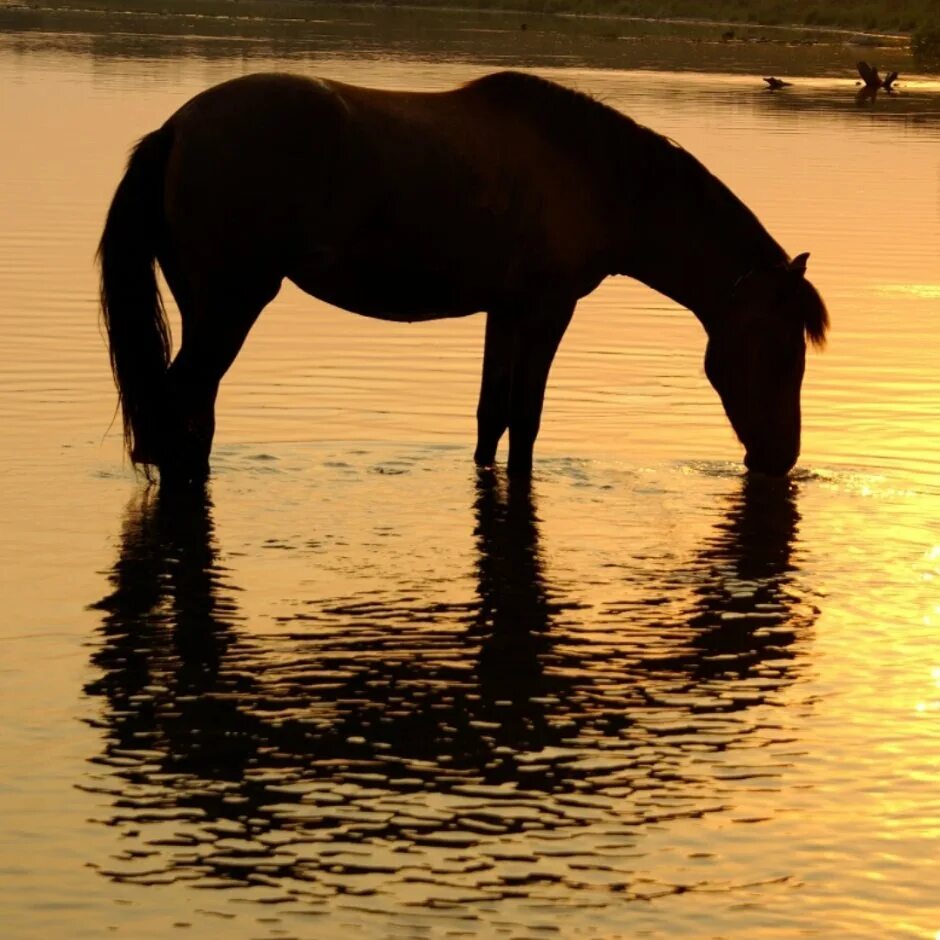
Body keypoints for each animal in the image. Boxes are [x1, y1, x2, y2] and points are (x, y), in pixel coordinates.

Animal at [99, 71, 828, 484]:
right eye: (780, 351)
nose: (781, 458)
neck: (598, 174)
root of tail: (176, 129)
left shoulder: (504, 312)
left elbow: (490, 417)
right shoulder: (547, 309)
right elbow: (525, 420)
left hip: (205, 304)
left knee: (195, 412)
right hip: (234, 302)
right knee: (179, 404)